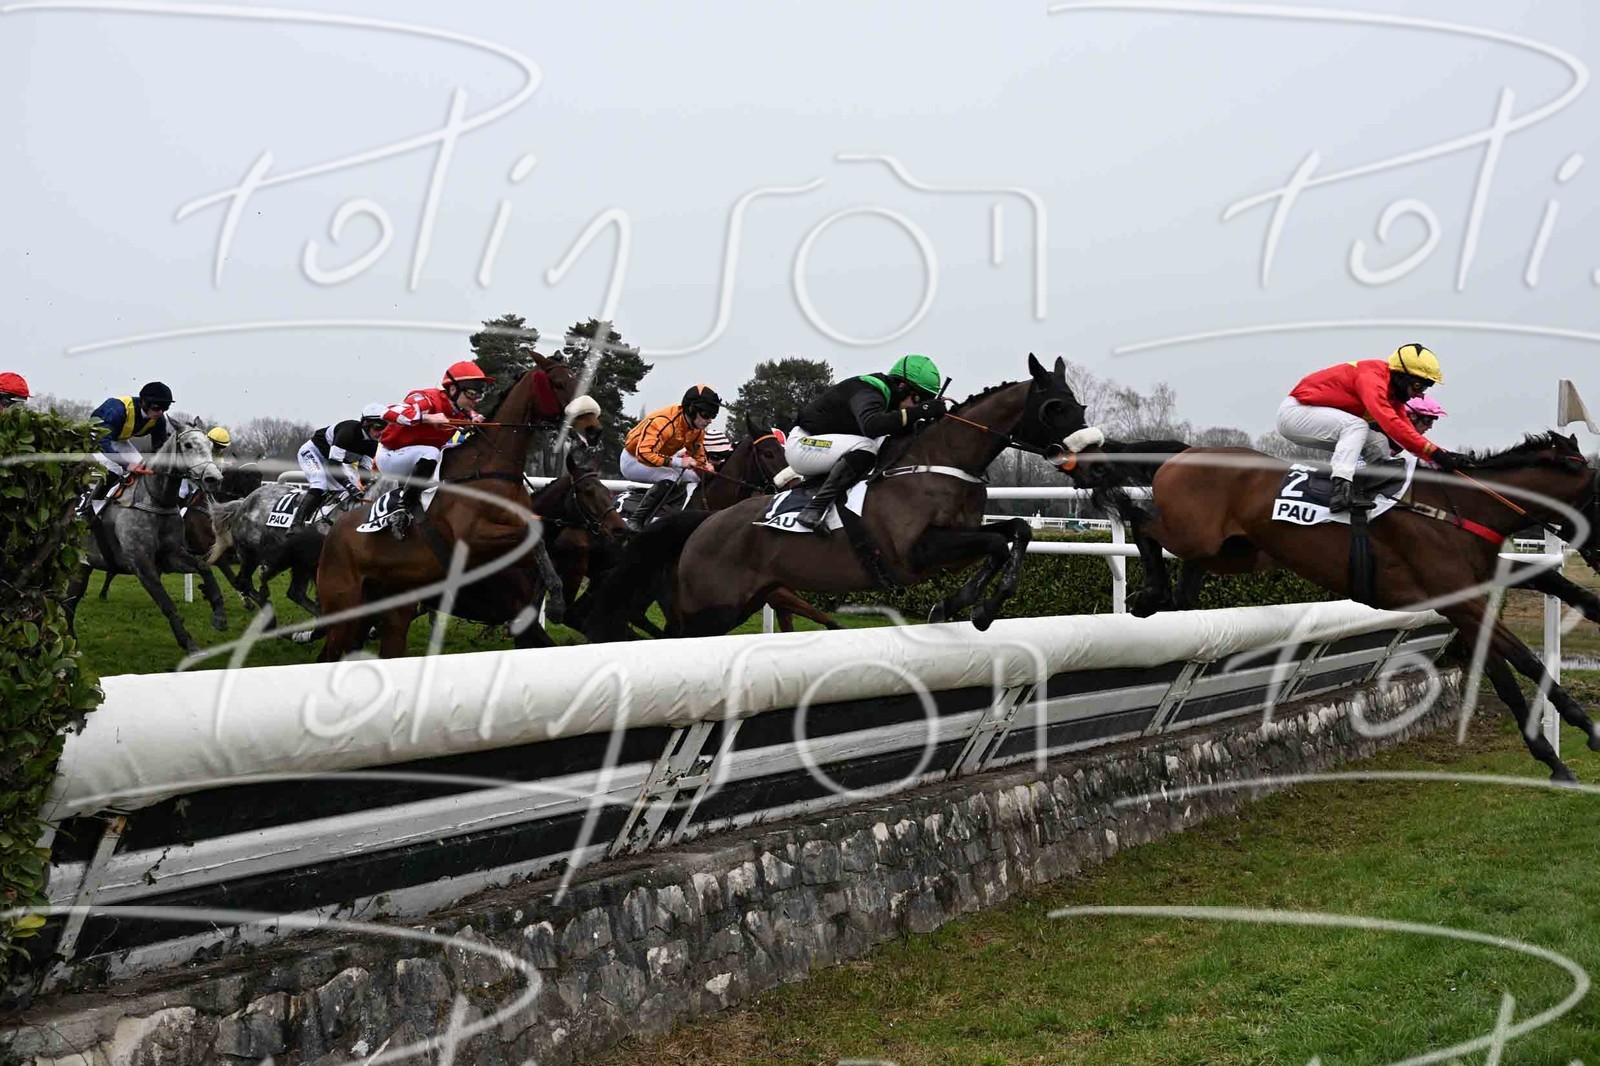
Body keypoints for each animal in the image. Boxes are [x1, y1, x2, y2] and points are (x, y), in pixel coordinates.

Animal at [64, 425, 226, 654]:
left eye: (210, 445)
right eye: (187, 445)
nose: (214, 479)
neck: (156, 500)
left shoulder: (170, 556)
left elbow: (204, 568)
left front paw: (218, 612)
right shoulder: (142, 565)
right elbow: (167, 605)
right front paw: (188, 643)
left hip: (81, 564)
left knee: (69, 602)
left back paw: (73, 644)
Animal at [314, 358, 581, 660]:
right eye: (559, 383)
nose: (591, 424)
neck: (487, 467)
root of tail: (332, 530)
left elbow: (537, 539)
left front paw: (554, 597)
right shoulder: (471, 537)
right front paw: (556, 602)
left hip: (387, 605)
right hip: (344, 606)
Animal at [585, 354, 1088, 638]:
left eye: (1078, 404)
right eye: (1054, 407)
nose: (1088, 454)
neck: (935, 462)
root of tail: (705, 523)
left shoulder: (955, 543)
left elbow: (1015, 532)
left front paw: (965, 605)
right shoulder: (917, 552)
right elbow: (998, 543)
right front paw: (975, 606)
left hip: (742, 600)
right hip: (712, 607)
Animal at [1085, 432, 1600, 781]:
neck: (1459, 509)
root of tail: (1185, 451)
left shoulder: (1470, 597)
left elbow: (1522, 652)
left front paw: (1566, 745)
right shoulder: (1463, 601)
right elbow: (1521, 663)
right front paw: (1573, 739)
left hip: (1234, 551)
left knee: (1182, 564)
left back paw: (1164, 596)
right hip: (1193, 531)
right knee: (1143, 523)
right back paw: (1149, 590)